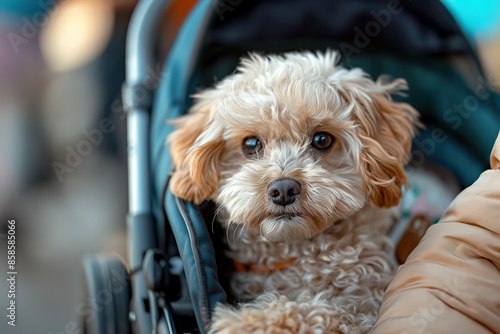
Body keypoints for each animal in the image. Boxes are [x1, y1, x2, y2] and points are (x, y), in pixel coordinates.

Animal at [168, 50, 418, 334]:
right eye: (251, 144)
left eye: (322, 139)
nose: (284, 189)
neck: (295, 254)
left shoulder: (365, 309)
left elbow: (318, 311)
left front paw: (244, 321)